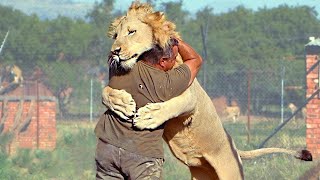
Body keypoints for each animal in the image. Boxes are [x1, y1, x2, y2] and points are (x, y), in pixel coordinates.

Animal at [102, 1, 312, 179]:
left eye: (131, 32)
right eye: (115, 36)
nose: (114, 51)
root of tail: (234, 147)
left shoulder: (189, 94)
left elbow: (173, 105)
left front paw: (149, 116)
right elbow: (105, 91)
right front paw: (121, 104)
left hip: (231, 173)